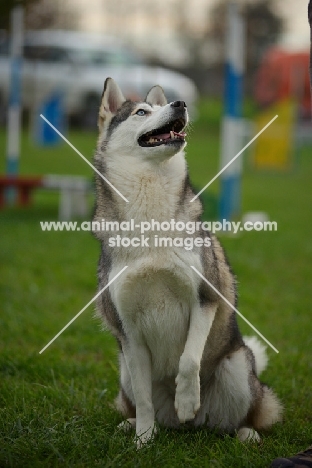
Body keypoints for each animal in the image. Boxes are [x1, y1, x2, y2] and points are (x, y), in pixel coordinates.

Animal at [93, 77, 282, 446]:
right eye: (141, 112)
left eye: (160, 105)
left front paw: (186, 399)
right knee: (138, 401)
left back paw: (243, 432)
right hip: (123, 370)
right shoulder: (128, 331)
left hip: (238, 366)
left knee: (246, 415)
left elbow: (189, 360)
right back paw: (133, 425)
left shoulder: (205, 297)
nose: (179, 103)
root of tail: (190, 430)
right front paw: (143, 441)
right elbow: (144, 397)